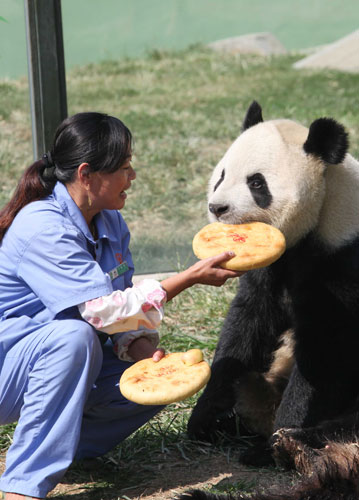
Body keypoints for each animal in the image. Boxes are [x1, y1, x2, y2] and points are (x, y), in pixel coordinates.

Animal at [180, 101, 359, 500]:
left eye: (257, 183)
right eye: (221, 175)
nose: (217, 208)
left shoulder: (343, 259)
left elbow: (326, 351)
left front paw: (280, 437)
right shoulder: (270, 268)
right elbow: (246, 326)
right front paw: (204, 418)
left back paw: (290, 442)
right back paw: (236, 422)